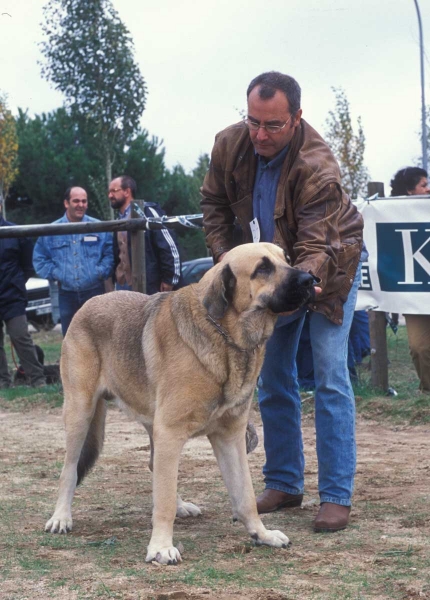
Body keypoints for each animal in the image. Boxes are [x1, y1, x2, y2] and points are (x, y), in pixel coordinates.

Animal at [45, 241, 318, 564]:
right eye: (263, 268)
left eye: (286, 259)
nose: (310, 280)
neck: (225, 334)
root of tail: (88, 303)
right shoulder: (171, 431)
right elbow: (162, 500)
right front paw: (161, 546)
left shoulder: (229, 437)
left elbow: (245, 495)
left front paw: (261, 534)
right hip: (81, 412)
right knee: (70, 469)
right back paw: (61, 517)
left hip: (151, 424)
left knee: (155, 466)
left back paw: (180, 505)